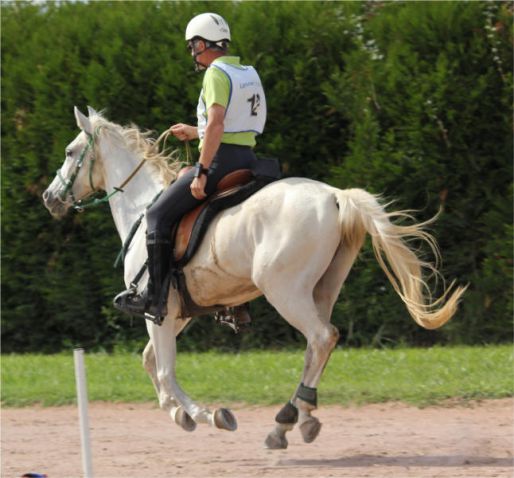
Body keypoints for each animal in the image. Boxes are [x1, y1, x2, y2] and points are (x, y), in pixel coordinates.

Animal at [42, 107, 464, 448]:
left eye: (69, 152)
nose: (49, 197)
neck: (142, 206)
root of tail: (336, 196)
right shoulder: (175, 313)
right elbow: (151, 362)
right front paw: (178, 414)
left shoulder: (157, 310)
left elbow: (164, 368)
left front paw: (207, 414)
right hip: (321, 290)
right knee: (316, 347)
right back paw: (292, 421)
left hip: (284, 291)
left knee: (322, 337)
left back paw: (292, 417)